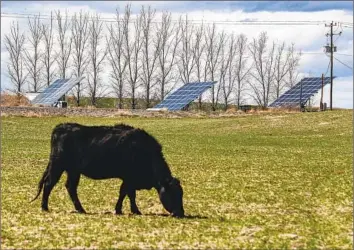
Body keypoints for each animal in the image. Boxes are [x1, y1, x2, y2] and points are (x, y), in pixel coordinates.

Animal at [30, 123, 185, 217]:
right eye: (173, 193)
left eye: (181, 193)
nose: (180, 213)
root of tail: (62, 126)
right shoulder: (129, 178)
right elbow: (127, 193)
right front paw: (128, 210)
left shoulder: (130, 180)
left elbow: (127, 194)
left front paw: (126, 210)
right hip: (57, 166)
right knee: (49, 184)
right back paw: (45, 207)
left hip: (73, 171)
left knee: (70, 187)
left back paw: (81, 209)